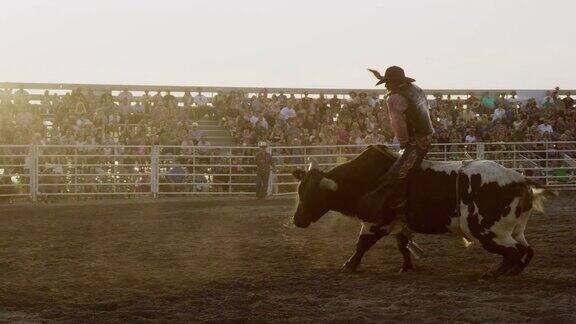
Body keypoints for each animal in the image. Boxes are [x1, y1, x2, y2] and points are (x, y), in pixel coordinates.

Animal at [292, 146, 552, 278]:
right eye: (299, 190)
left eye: (312, 195)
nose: (297, 220)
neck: (369, 178)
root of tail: (519, 179)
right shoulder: (401, 222)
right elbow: (403, 244)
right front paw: (407, 267)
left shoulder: (377, 222)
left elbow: (362, 244)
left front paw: (349, 265)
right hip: (514, 230)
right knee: (526, 250)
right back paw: (509, 270)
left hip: (488, 231)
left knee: (515, 251)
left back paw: (497, 272)